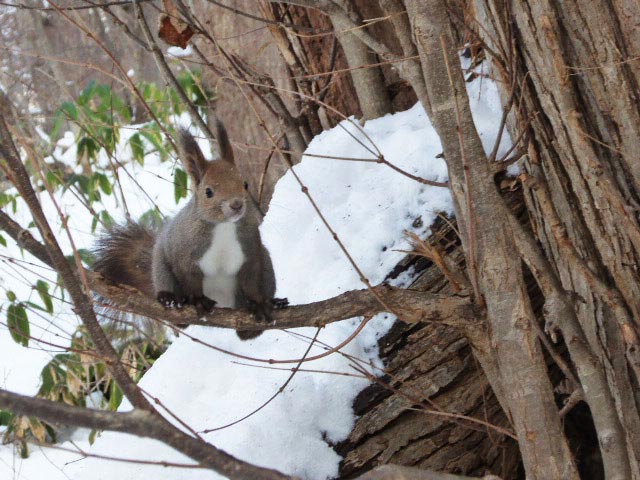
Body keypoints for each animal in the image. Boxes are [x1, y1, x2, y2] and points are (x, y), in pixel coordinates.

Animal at [92, 124, 284, 342]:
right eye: (208, 192)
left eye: (245, 184)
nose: (236, 205)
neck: (224, 227)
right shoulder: (184, 253)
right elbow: (189, 279)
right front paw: (198, 301)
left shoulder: (250, 251)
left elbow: (251, 280)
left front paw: (259, 304)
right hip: (160, 268)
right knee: (178, 316)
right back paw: (170, 300)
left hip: (266, 264)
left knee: (245, 330)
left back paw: (272, 304)